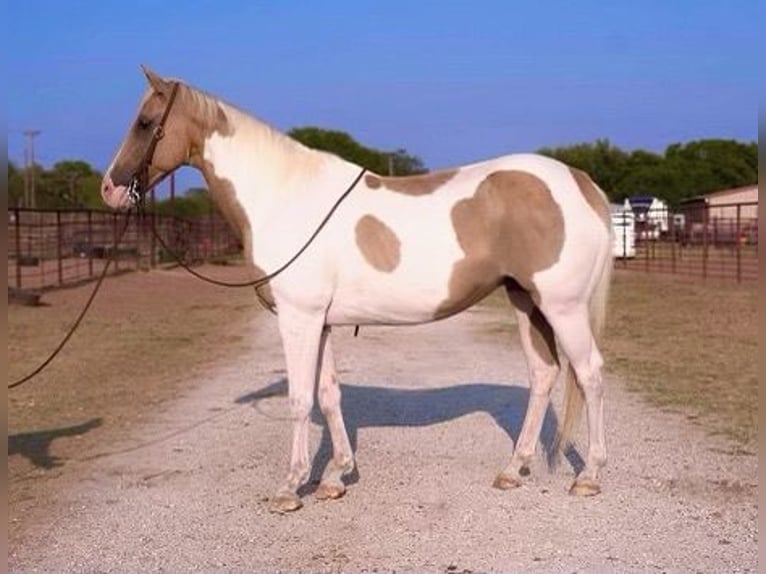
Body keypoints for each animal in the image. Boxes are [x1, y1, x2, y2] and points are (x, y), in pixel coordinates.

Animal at [103, 65, 616, 516]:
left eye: (145, 122)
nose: (109, 189)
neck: (284, 198)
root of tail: (580, 182)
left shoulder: (299, 318)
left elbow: (300, 398)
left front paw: (290, 488)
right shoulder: (323, 322)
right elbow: (329, 395)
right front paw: (335, 477)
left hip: (563, 307)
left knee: (590, 374)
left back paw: (589, 476)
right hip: (526, 302)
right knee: (543, 375)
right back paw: (513, 469)